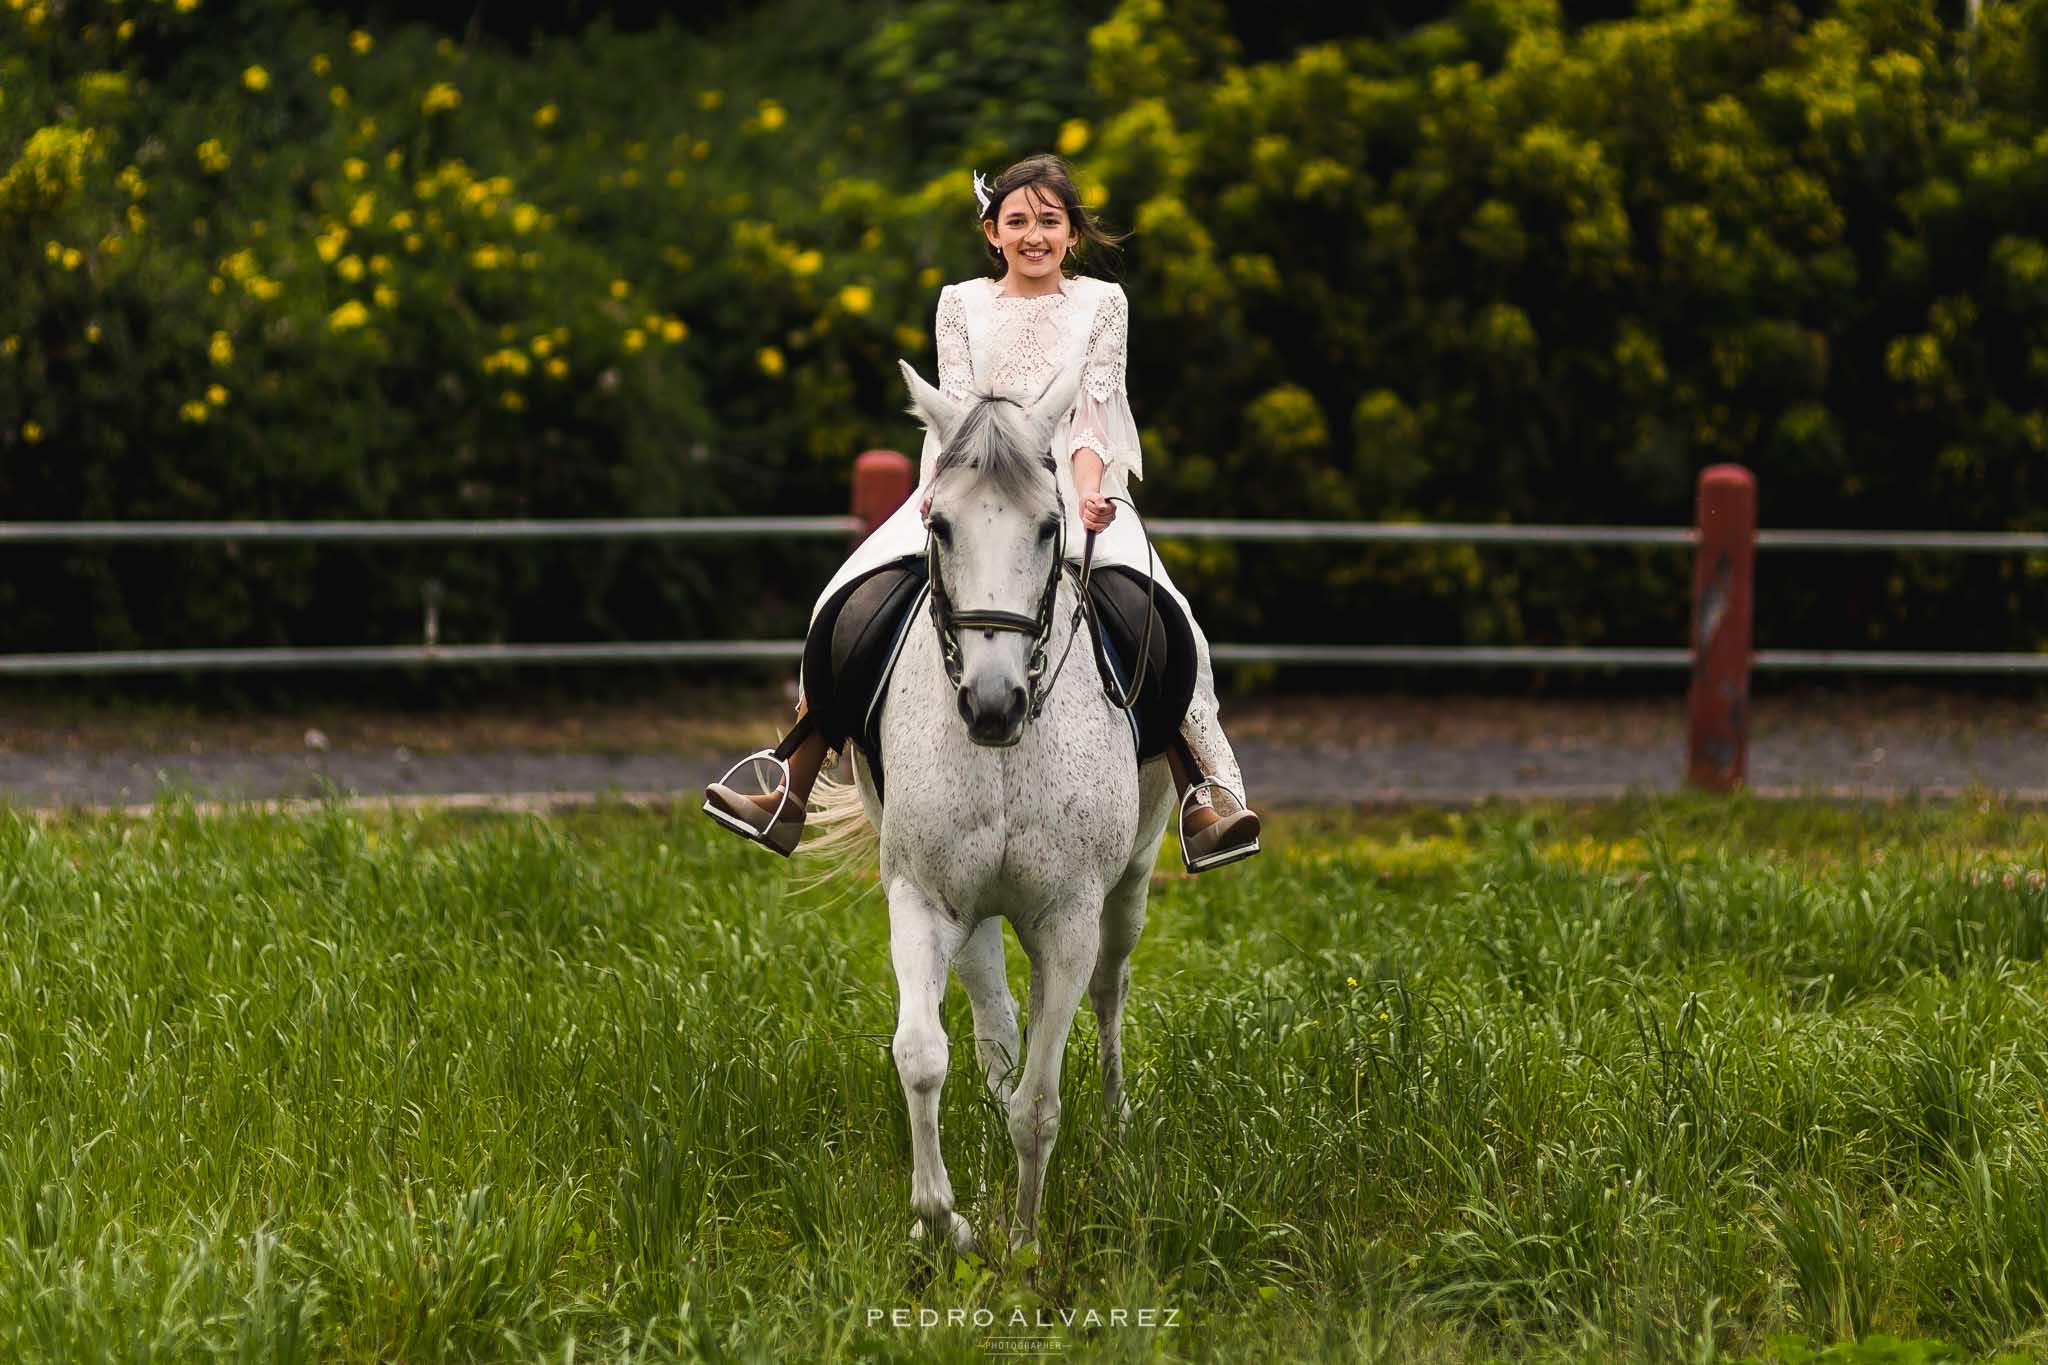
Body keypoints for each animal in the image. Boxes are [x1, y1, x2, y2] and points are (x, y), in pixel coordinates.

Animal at [811, 362, 1171, 1260]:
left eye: (1049, 527)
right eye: (939, 523)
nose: (993, 704)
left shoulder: (1069, 919)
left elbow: (1040, 1105)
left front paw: (1027, 1245)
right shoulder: (922, 897)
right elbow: (921, 1053)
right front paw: (946, 1220)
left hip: (1132, 882)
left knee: (1109, 990)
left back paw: (1116, 1127)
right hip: (973, 911)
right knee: (992, 1012)